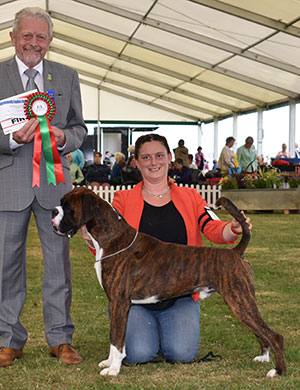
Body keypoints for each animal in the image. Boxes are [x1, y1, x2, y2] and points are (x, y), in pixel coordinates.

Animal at [51, 187, 286, 376]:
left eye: (67, 206)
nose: (52, 212)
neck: (112, 238)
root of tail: (235, 252)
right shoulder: (115, 305)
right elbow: (114, 338)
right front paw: (109, 363)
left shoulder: (119, 302)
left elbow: (117, 341)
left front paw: (113, 370)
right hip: (243, 301)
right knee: (261, 332)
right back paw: (263, 358)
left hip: (239, 301)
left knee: (274, 335)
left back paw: (277, 371)